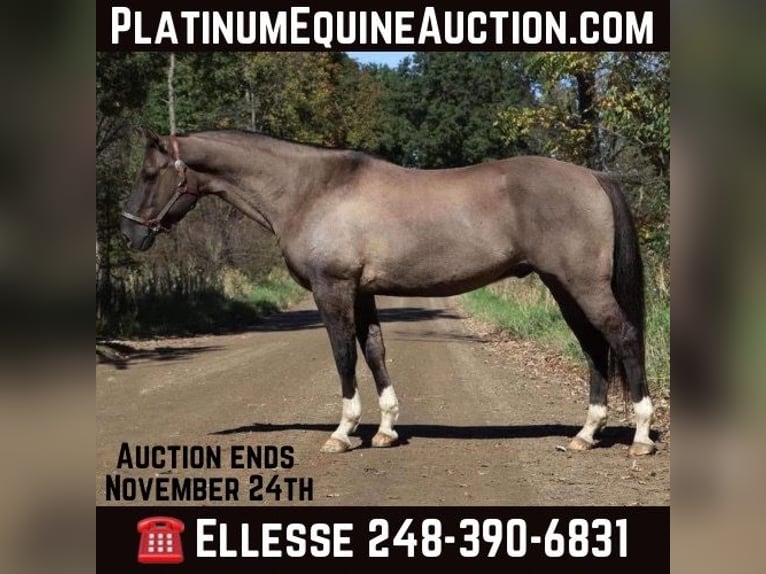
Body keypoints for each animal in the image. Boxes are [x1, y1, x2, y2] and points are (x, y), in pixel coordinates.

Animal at [121, 128, 656, 457]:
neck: (312, 189)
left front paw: (343, 433)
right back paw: (586, 434)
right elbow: (374, 351)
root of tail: (593, 176)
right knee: (594, 348)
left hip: (582, 285)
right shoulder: (362, 293)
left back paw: (641, 436)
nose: (130, 233)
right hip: (564, 288)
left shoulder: (332, 289)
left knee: (624, 338)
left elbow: (343, 355)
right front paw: (385, 429)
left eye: (149, 174)